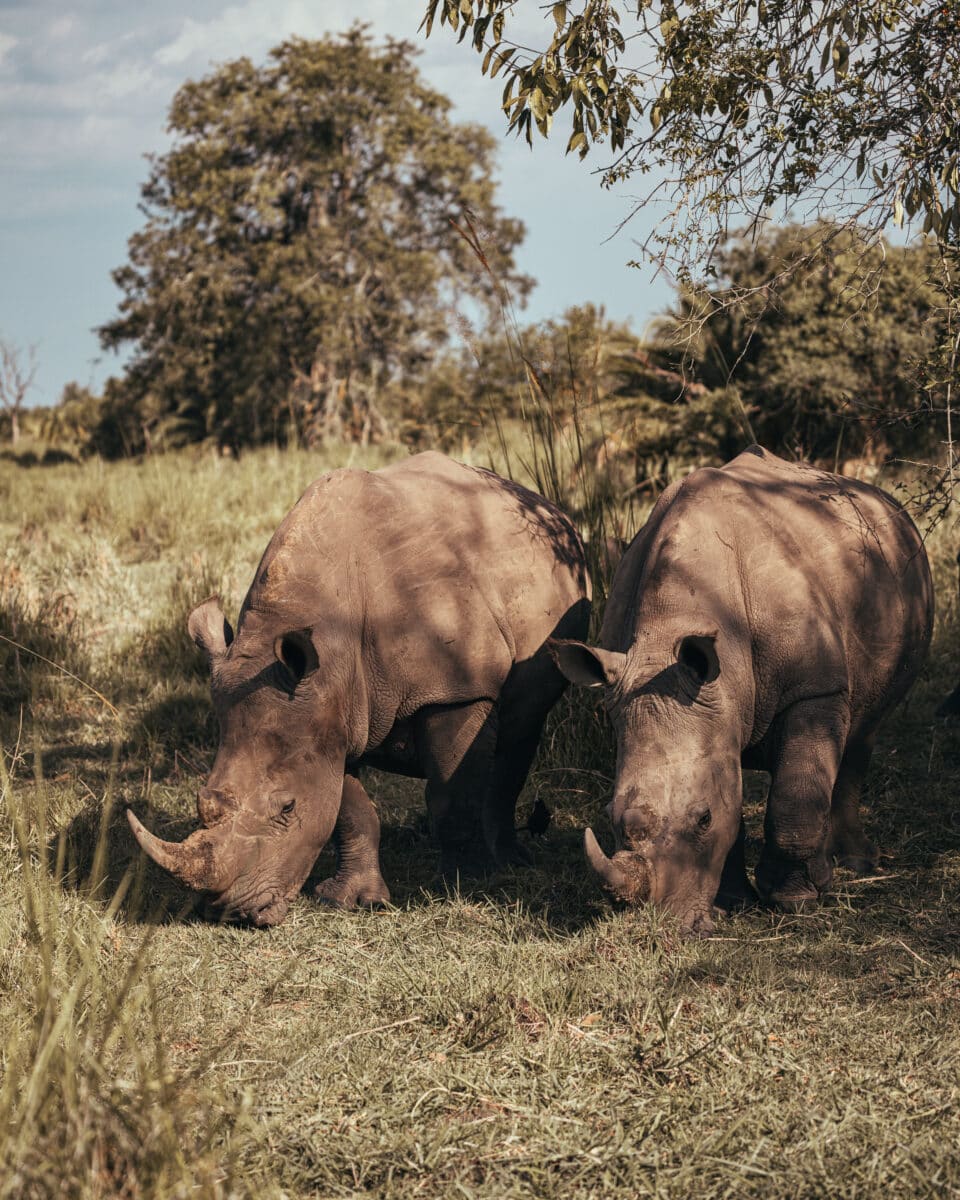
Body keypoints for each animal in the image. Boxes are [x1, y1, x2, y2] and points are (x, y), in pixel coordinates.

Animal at [125, 451, 592, 926]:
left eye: (287, 808)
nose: (233, 914)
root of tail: (547, 508)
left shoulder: (456, 690)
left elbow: (451, 794)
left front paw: (466, 884)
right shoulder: (328, 715)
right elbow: (348, 809)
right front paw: (350, 900)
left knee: (521, 731)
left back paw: (509, 862)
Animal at [552, 446, 936, 931]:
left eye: (702, 819)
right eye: (609, 816)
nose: (665, 925)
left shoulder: (812, 690)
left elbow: (793, 799)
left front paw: (792, 900)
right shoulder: (712, 707)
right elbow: (732, 801)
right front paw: (731, 903)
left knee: (861, 733)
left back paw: (854, 865)